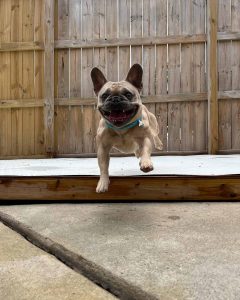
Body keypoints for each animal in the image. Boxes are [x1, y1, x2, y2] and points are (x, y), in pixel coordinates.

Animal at [90, 64, 163, 193]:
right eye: (104, 95)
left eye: (128, 94)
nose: (115, 99)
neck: (122, 128)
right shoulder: (102, 148)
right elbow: (103, 166)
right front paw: (103, 183)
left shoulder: (145, 138)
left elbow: (146, 150)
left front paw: (146, 163)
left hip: (153, 123)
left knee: (155, 136)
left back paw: (158, 145)